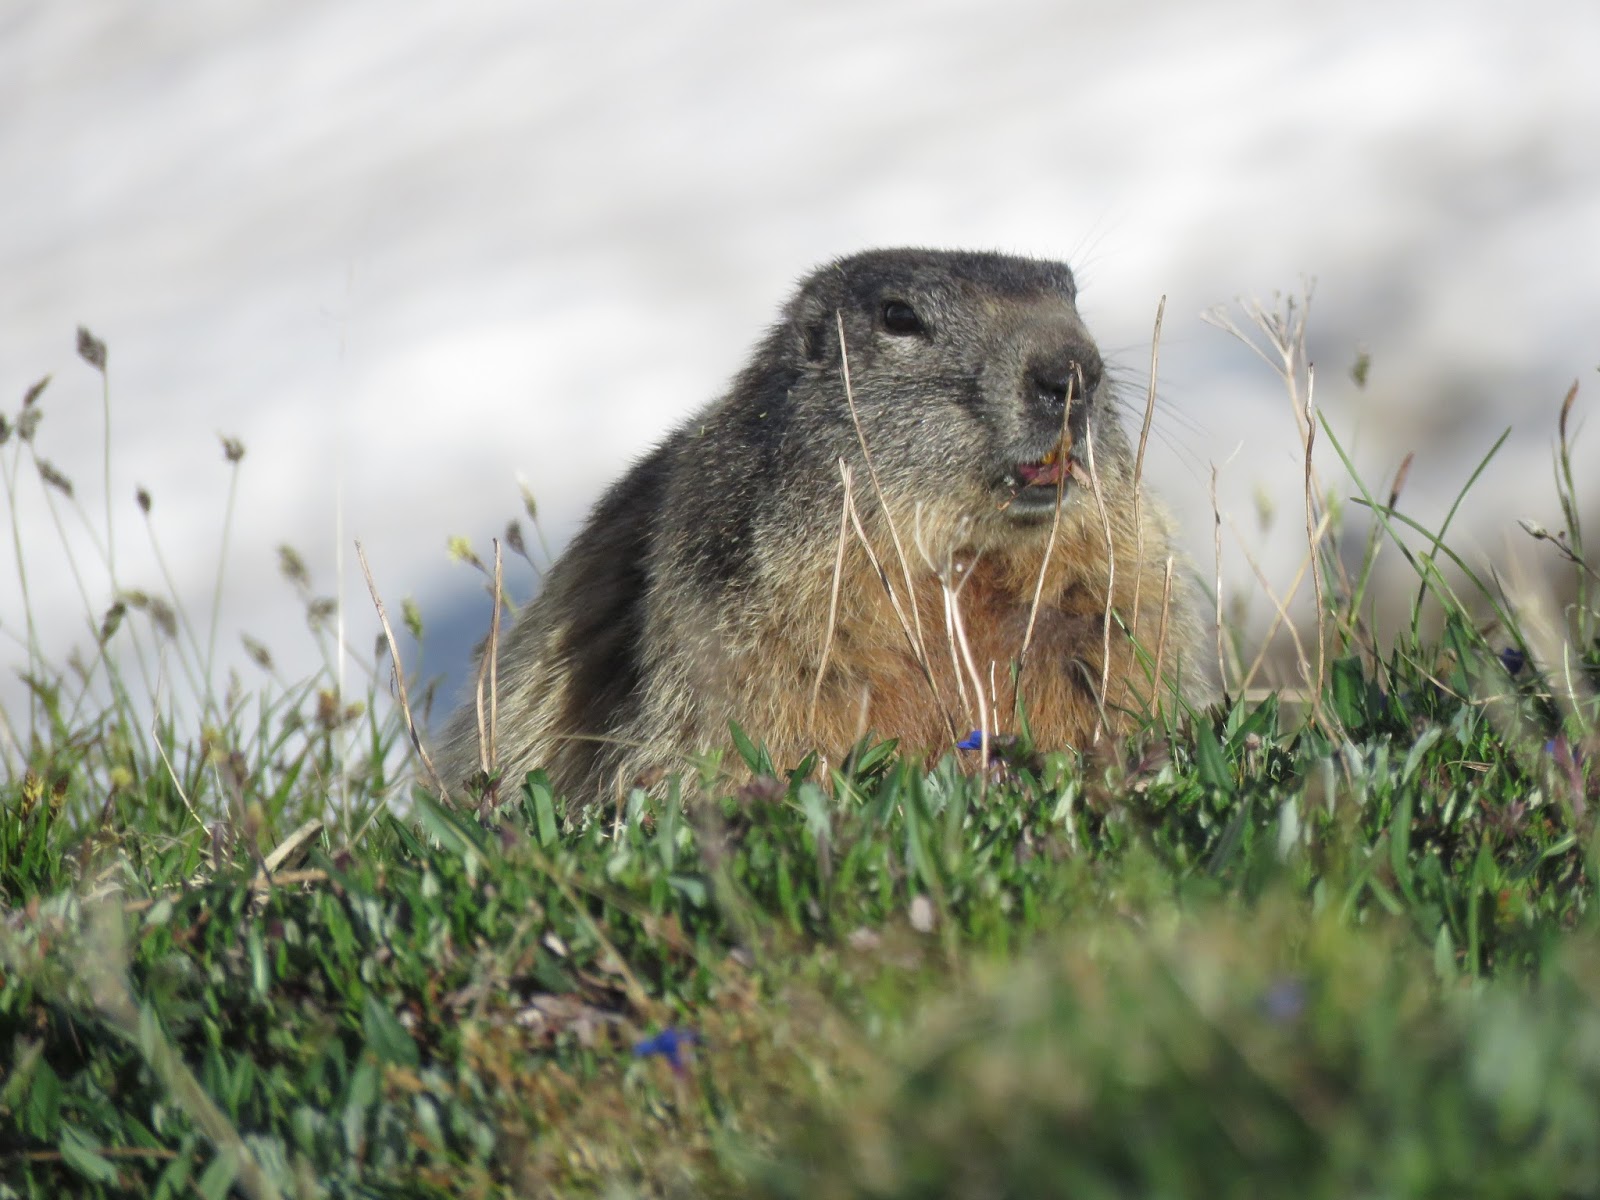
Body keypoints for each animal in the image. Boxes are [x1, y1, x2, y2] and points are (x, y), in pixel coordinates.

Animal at [438, 248, 1204, 806]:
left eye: (1069, 293)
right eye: (899, 317)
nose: (1072, 370)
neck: (962, 566)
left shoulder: (1115, 597)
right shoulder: (749, 637)